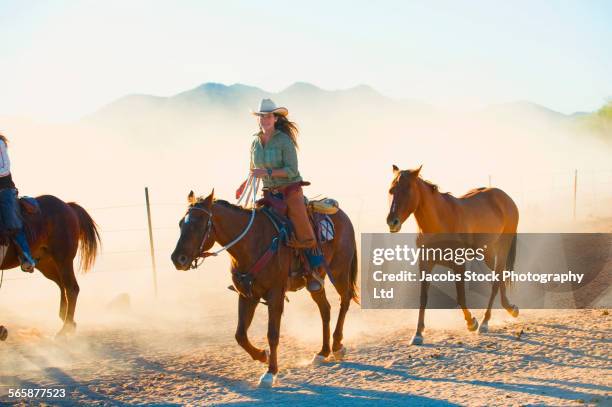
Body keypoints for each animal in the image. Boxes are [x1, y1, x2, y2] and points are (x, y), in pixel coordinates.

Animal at [0, 198, 99, 338]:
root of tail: (67, 206)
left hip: (63, 259)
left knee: (71, 288)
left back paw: (65, 329)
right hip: (46, 264)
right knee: (62, 285)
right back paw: (68, 321)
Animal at [170, 191, 358, 388]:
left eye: (199, 224)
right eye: (181, 223)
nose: (178, 259)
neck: (252, 243)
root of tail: (342, 215)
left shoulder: (275, 295)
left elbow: (273, 334)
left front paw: (270, 373)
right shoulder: (247, 295)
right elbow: (240, 335)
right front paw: (262, 355)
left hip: (339, 271)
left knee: (345, 300)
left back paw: (337, 346)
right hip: (315, 282)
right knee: (325, 310)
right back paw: (323, 352)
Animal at [384, 166, 520, 344]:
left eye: (408, 190)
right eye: (391, 190)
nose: (392, 222)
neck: (440, 222)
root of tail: (506, 198)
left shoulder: (459, 264)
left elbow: (460, 297)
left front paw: (471, 323)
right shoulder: (425, 264)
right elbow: (423, 297)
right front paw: (418, 333)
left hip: (502, 247)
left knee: (496, 281)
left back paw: (485, 322)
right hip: (487, 252)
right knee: (499, 275)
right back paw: (510, 309)